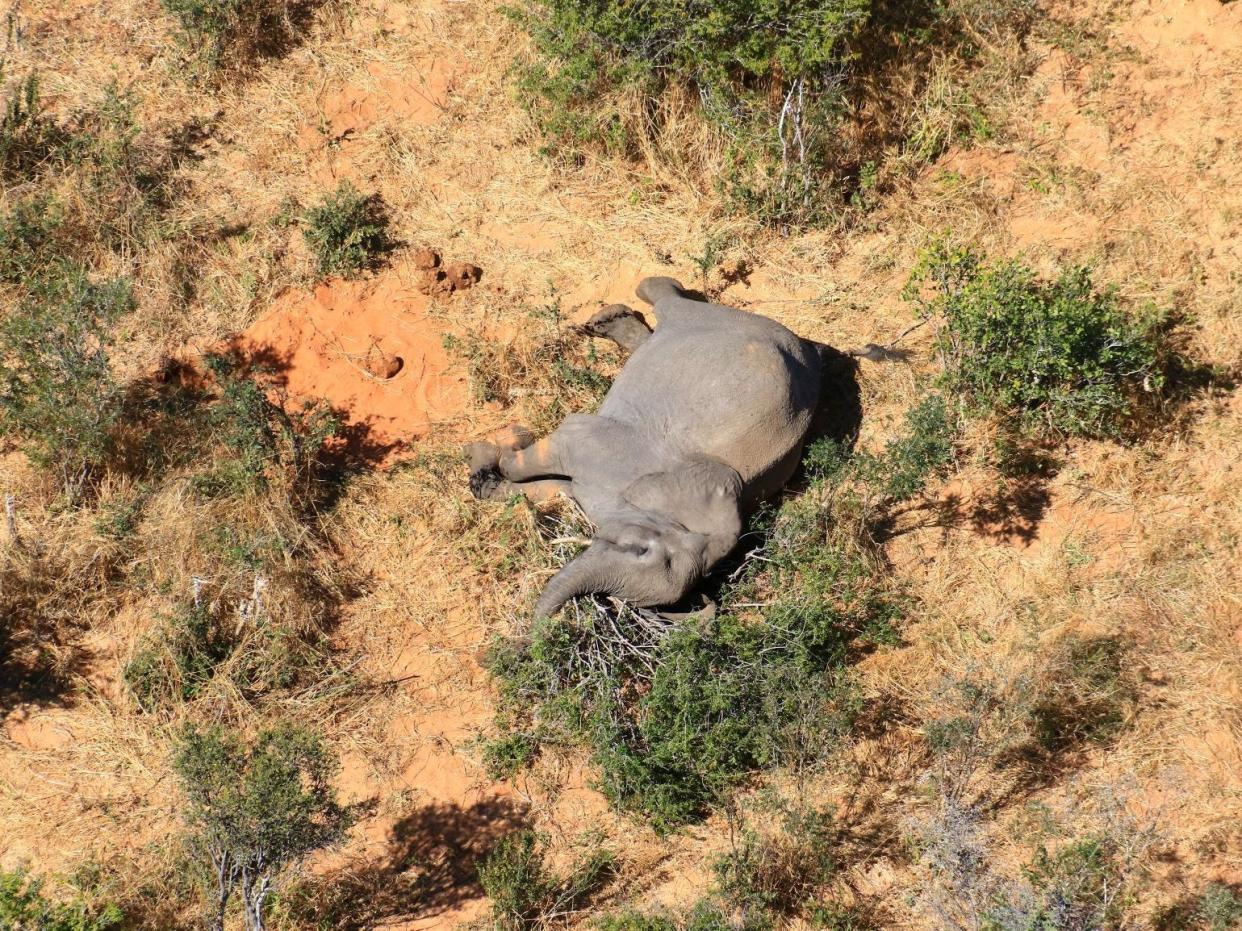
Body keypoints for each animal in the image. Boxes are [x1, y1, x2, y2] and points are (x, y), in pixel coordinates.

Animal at [462, 280, 849, 623]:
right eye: (641, 550)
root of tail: (804, 345)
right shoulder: (607, 448)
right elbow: (544, 454)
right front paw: (497, 445)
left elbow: (553, 488)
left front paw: (484, 473)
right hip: (717, 320)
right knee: (668, 300)